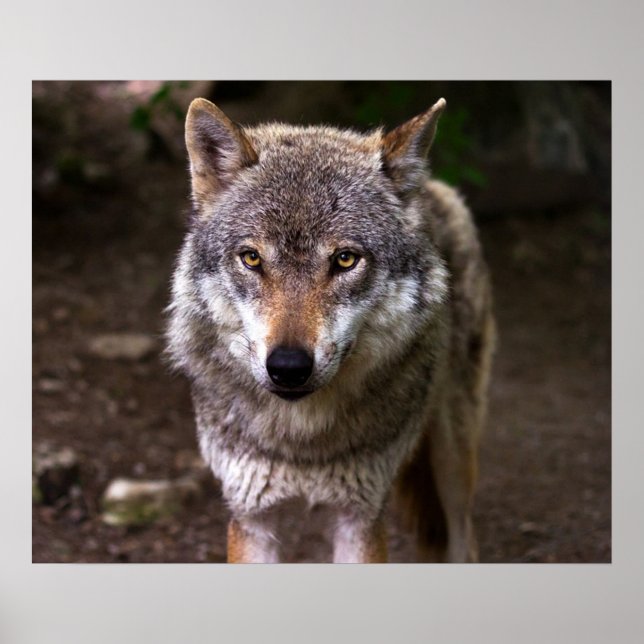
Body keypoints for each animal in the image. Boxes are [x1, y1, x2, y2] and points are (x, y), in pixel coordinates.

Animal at [166, 96, 494, 563]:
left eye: (344, 260)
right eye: (252, 258)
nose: (288, 367)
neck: (302, 442)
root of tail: (431, 187)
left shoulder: (360, 518)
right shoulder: (251, 518)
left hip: (453, 461)